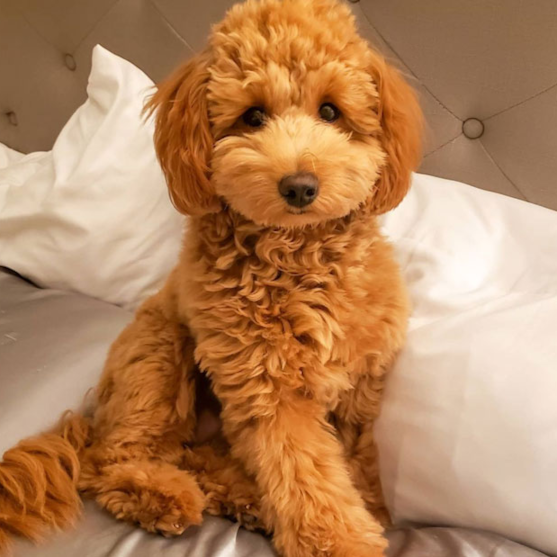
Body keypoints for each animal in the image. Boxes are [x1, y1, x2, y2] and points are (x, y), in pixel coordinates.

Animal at [0, 0, 422, 552]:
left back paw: (242, 497)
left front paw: (371, 509)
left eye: (331, 111)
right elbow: (307, 477)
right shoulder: (268, 390)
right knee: (110, 460)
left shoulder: (360, 384)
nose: (300, 186)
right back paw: (163, 494)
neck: (298, 256)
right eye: (253, 116)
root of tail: (92, 419)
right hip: (157, 360)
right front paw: (340, 542)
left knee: (195, 456)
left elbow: (356, 458)